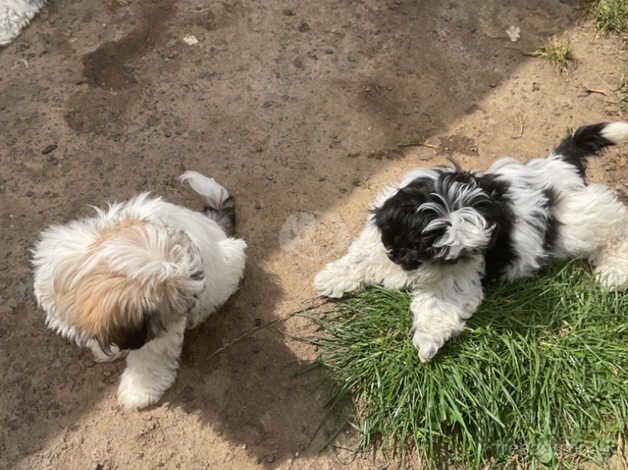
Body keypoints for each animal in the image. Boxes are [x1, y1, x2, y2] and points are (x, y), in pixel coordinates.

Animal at [33, 172, 247, 408]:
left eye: (181, 305)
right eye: (174, 304)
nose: (190, 307)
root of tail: (213, 224)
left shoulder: (157, 331)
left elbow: (149, 356)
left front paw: (139, 391)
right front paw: (105, 350)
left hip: (227, 266)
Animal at [314, 123, 628, 362]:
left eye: (465, 253)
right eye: (432, 248)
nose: (457, 261)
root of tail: (558, 166)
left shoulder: (460, 274)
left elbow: (441, 301)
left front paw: (426, 342)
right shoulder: (384, 235)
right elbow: (362, 256)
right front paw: (332, 277)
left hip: (576, 220)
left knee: (615, 221)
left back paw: (615, 270)